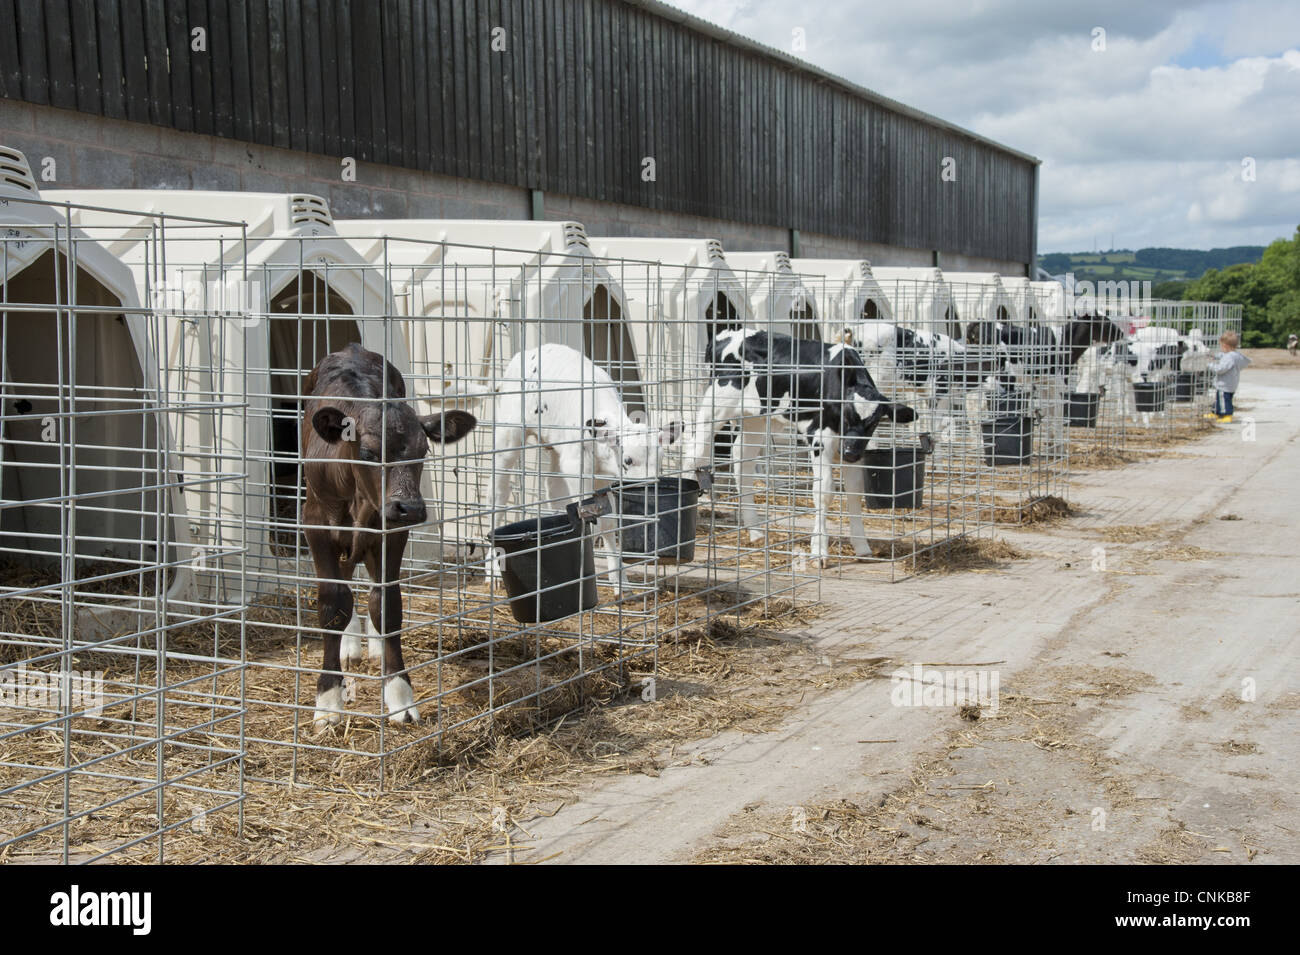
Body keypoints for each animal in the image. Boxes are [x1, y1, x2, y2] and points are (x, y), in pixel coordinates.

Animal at [681, 330, 915, 566]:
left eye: (873, 423)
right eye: (846, 415)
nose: (849, 453)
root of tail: (725, 335)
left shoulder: (855, 449)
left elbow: (855, 491)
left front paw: (862, 546)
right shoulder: (819, 438)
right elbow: (824, 491)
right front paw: (819, 551)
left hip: (755, 416)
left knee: (741, 459)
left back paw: (756, 531)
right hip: (716, 406)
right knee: (694, 453)